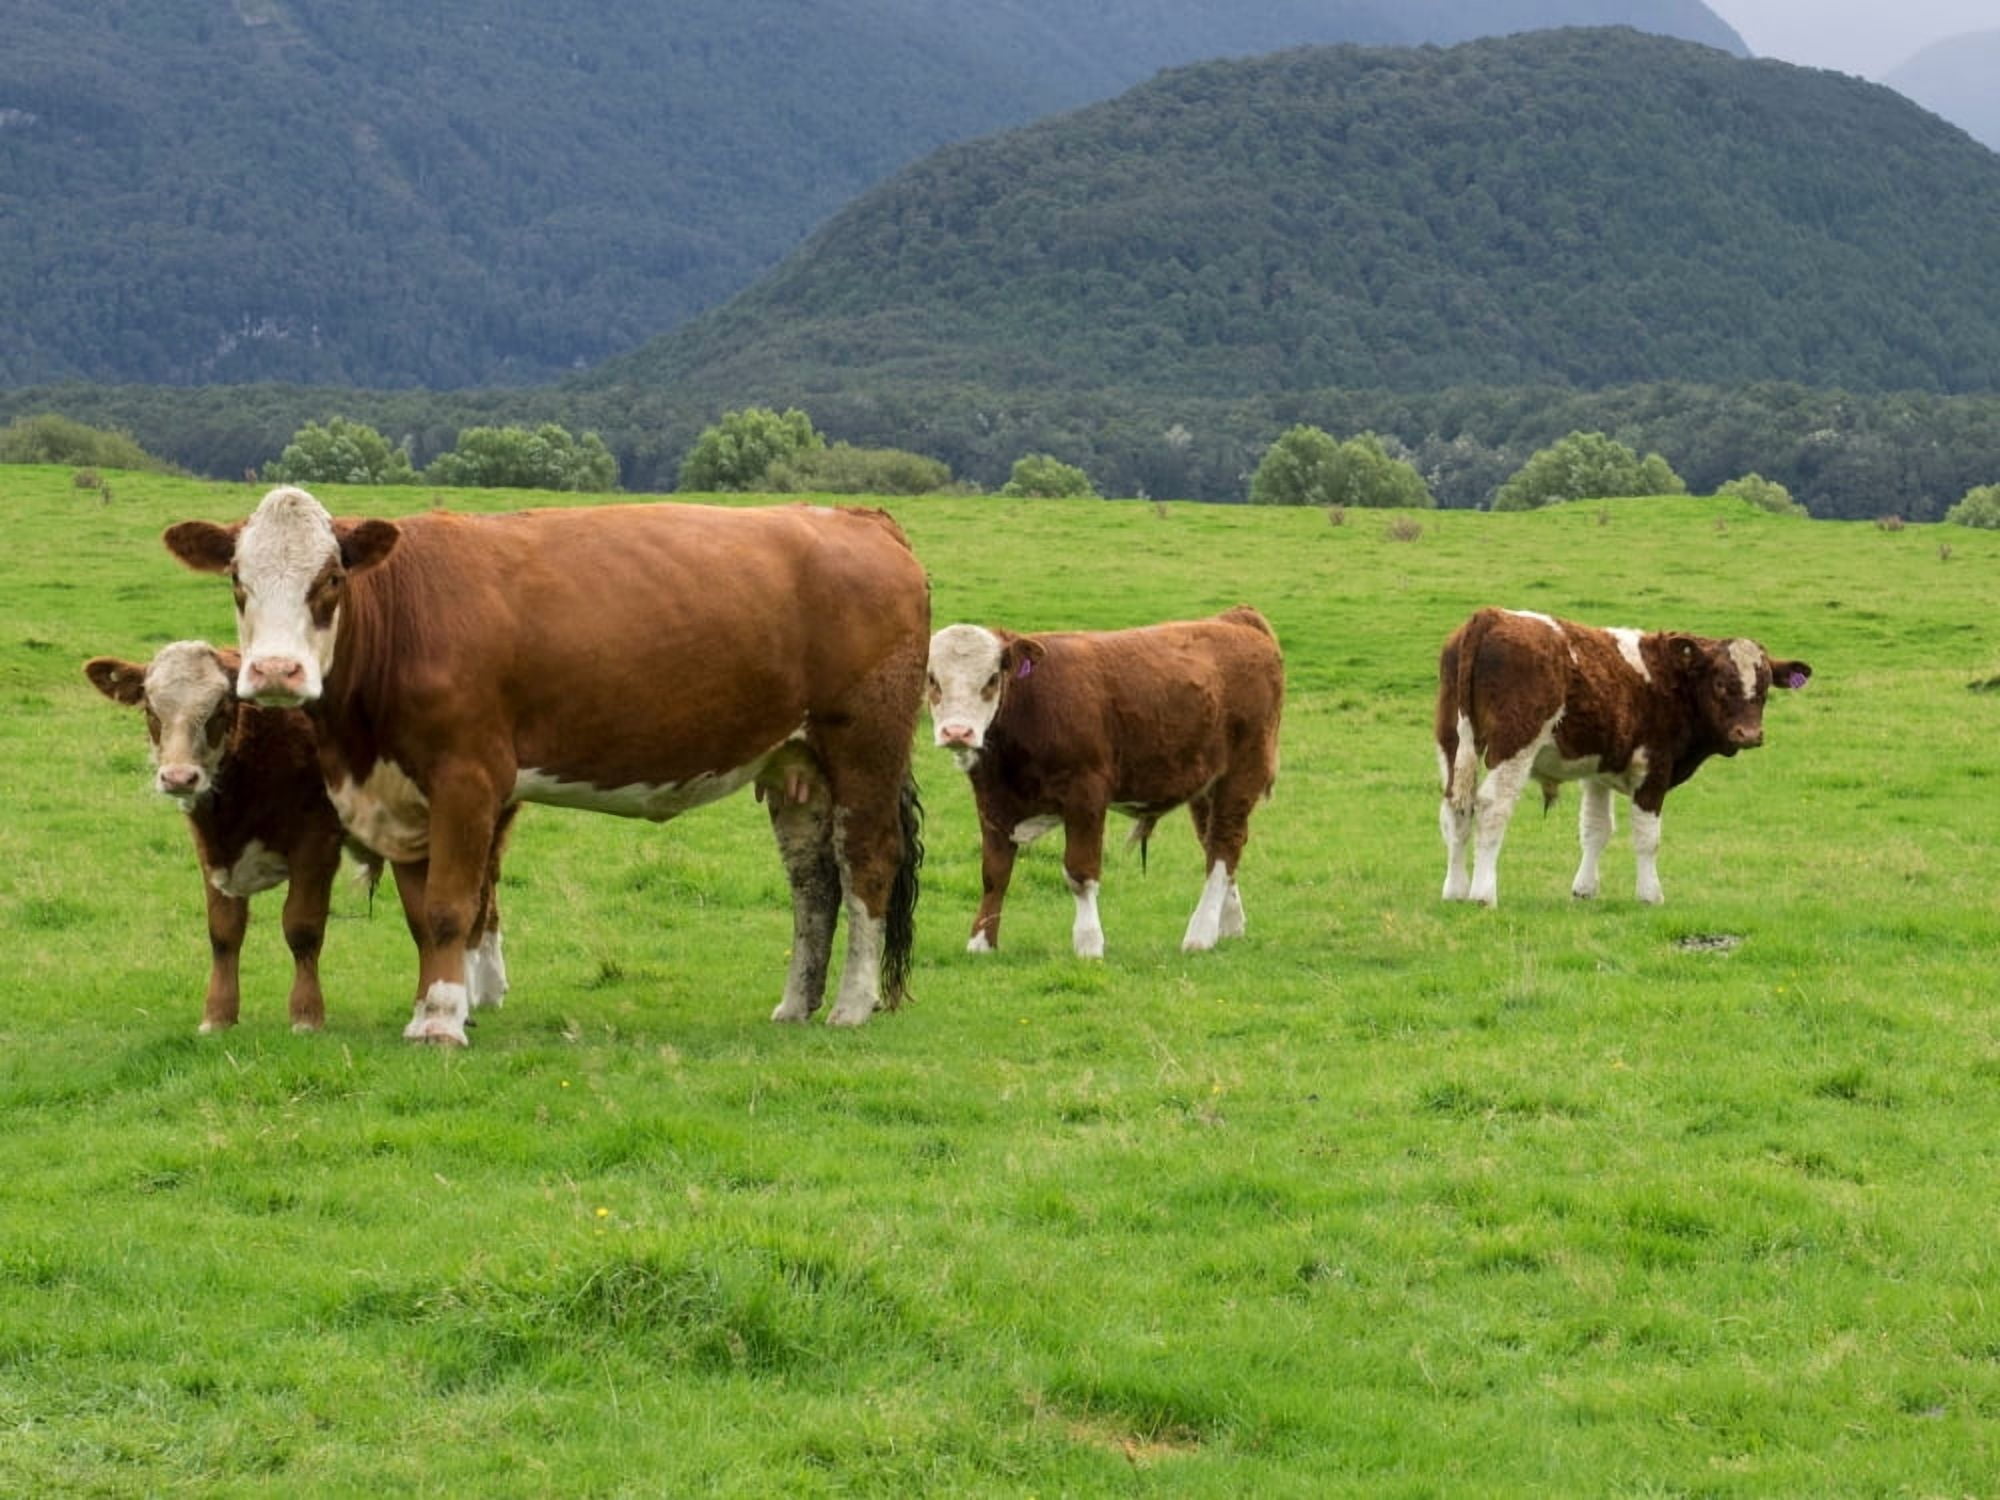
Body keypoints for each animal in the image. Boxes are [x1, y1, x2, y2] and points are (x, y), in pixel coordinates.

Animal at [162, 486, 927, 1045]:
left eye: (330, 578)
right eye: (237, 580)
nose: (275, 672)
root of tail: (859, 517)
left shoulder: (467, 780)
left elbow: (449, 909)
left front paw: (441, 1023)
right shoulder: (404, 797)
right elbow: (422, 916)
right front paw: (430, 1007)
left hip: (864, 748)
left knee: (866, 864)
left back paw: (852, 1004)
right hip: (796, 764)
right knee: (813, 884)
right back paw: (796, 1003)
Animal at [926, 606, 1283, 958]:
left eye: (992, 678)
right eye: (932, 679)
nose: (957, 732)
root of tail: (1234, 619)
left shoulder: (1086, 796)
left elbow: (1080, 872)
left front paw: (1088, 943)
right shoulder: (992, 802)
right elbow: (994, 873)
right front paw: (981, 941)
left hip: (1241, 775)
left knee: (1224, 846)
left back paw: (1201, 933)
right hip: (1206, 784)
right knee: (1216, 842)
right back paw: (1230, 925)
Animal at [1435, 607, 1812, 907]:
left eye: (1764, 688)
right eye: (1720, 683)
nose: (1749, 734)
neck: (1670, 680)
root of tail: (1491, 615)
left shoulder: (1598, 772)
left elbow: (1596, 829)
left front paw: (1585, 890)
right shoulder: (1653, 771)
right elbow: (1647, 838)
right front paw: (1650, 894)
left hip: (1452, 744)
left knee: (1456, 810)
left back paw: (1455, 890)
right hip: (1514, 746)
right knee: (1492, 808)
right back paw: (1482, 894)